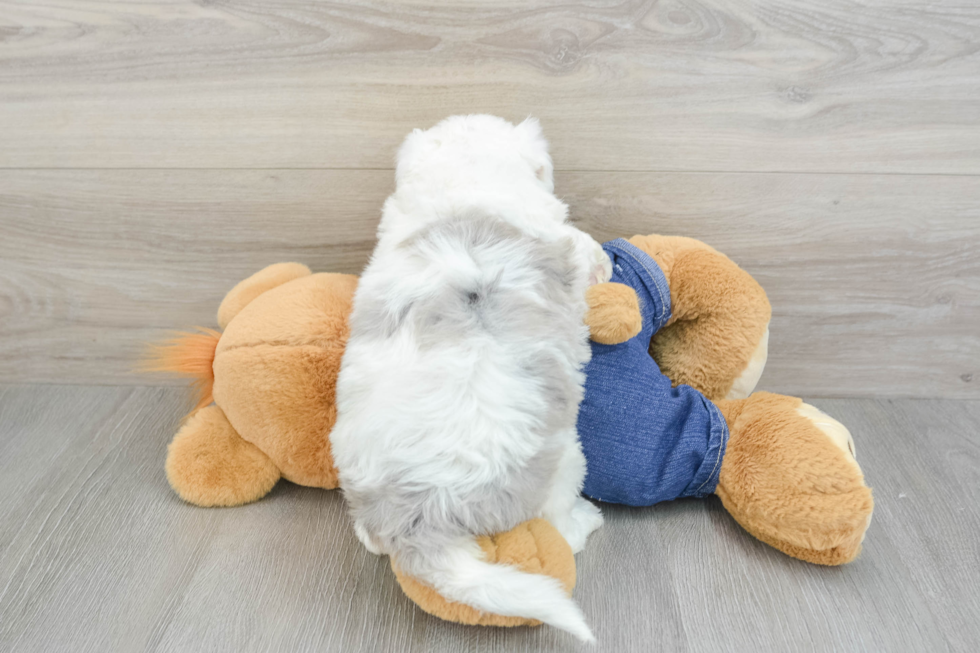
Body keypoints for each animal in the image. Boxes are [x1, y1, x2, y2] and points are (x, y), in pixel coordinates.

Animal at [334, 114, 608, 640]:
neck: (467, 188)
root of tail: (422, 516)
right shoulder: (557, 233)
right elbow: (581, 245)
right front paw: (603, 262)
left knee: (368, 533)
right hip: (565, 460)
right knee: (560, 517)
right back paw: (584, 523)